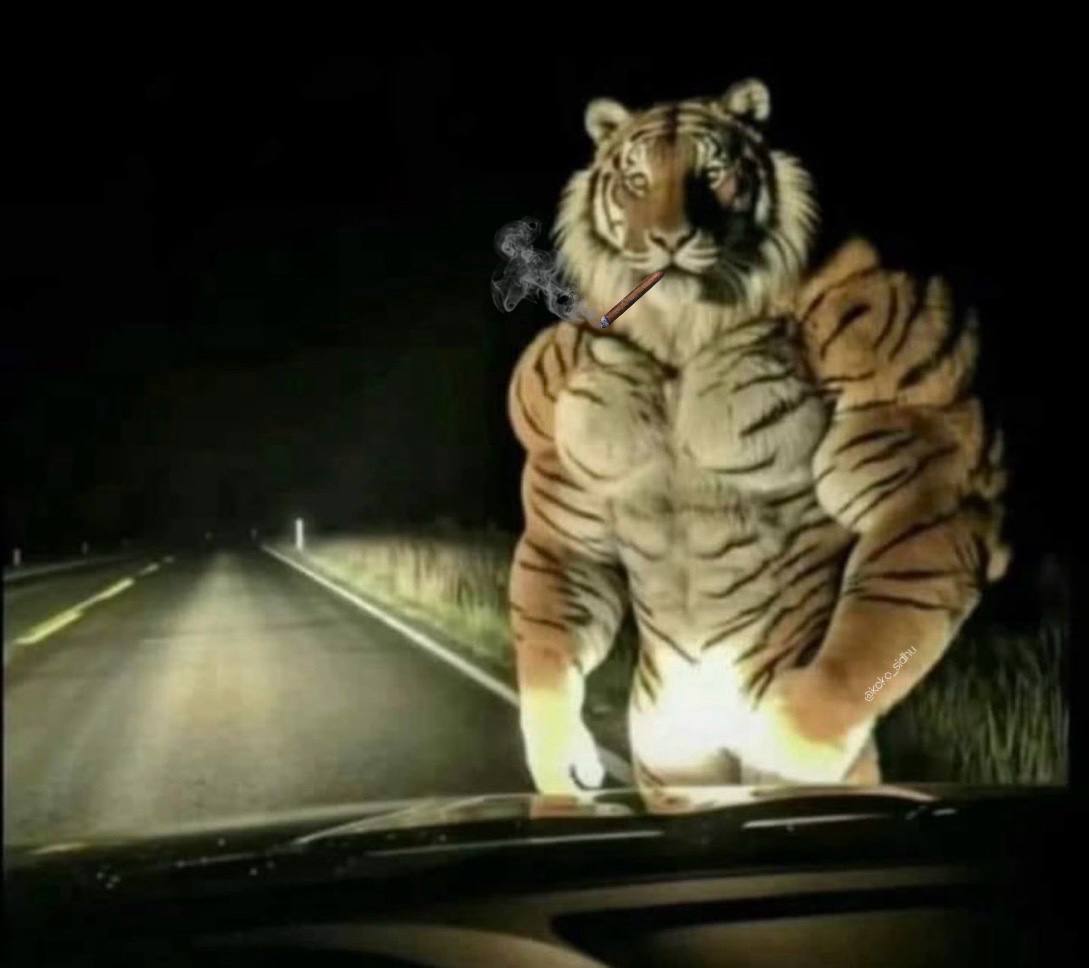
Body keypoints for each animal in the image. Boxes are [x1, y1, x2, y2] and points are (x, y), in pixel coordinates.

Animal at [507, 79, 1009, 795]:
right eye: (636, 179)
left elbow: (868, 639)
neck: (683, 327)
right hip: (668, 762)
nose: (669, 237)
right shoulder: (558, 462)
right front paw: (561, 759)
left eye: (713, 173)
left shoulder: (923, 435)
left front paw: (794, 750)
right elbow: (558, 603)